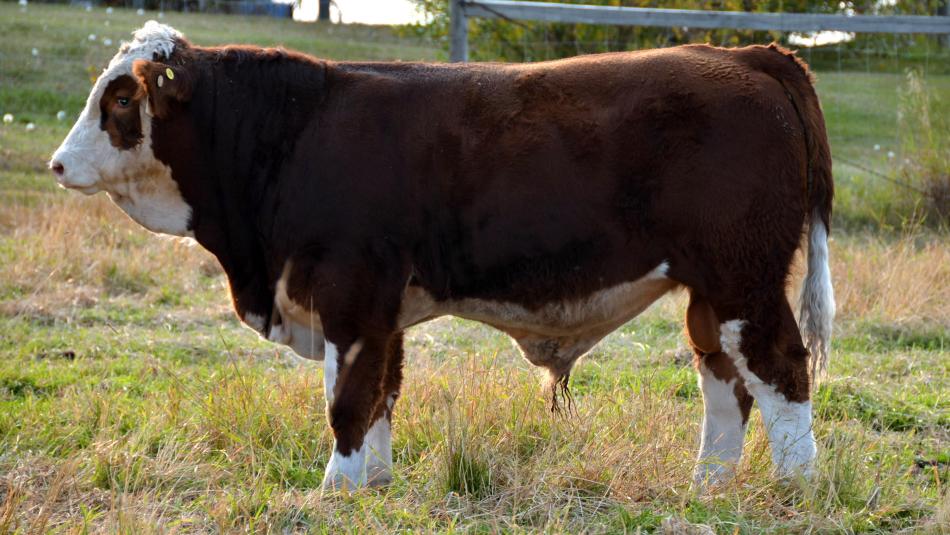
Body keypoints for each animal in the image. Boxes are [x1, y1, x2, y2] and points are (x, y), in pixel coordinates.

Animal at [50, 21, 835, 491]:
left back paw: (795, 484)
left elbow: (348, 399)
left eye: (120, 100)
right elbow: (382, 395)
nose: (58, 164)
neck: (291, 132)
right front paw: (374, 486)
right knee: (724, 380)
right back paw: (709, 485)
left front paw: (333, 491)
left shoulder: (349, 295)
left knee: (780, 371)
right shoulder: (381, 309)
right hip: (708, 289)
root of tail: (741, 54)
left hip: (744, 279)